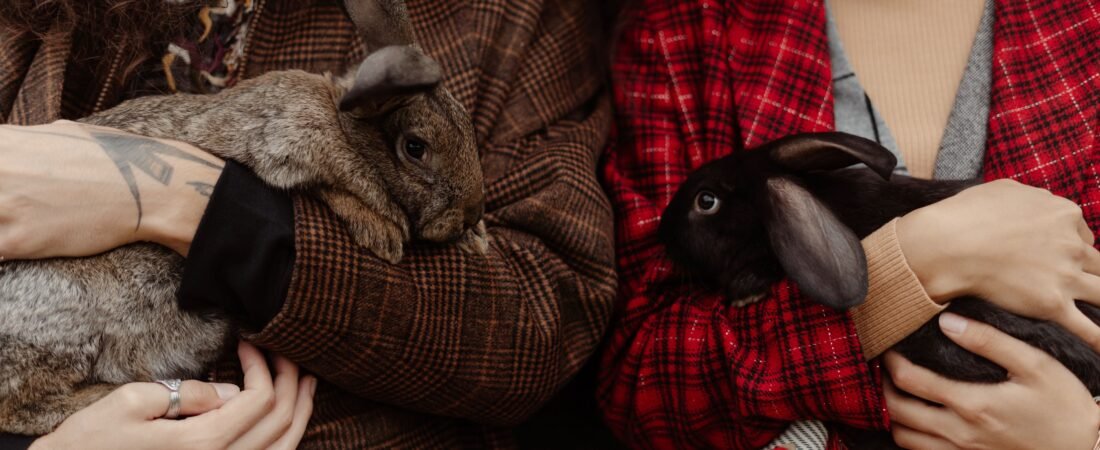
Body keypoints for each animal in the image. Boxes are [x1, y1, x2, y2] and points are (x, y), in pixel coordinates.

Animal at [0, 0, 484, 436]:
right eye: (415, 148)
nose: (471, 212)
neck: (345, 124)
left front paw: (475, 239)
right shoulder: (284, 143)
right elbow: (333, 186)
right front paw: (384, 231)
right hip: (65, 317)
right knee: (21, 407)